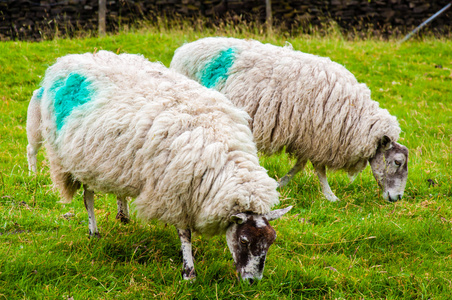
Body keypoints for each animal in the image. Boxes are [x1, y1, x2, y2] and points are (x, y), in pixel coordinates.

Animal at [26, 50, 292, 282]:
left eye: (271, 241)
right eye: (244, 241)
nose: (252, 282)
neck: (221, 150)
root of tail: (65, 61)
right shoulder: (175, 190)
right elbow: (185, 233)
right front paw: (189, 273)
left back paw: (123, 215)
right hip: (76, 157)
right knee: (88, 197)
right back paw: (94, 232)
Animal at [170, 37, 410, 202]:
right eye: (397, 162)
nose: (397, 198)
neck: (356, 116)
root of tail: (184, 48)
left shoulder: (308, 137)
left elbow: (301, 165)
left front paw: (281, 184)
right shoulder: (320, 136)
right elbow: (319, 170)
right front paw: (330, 196)